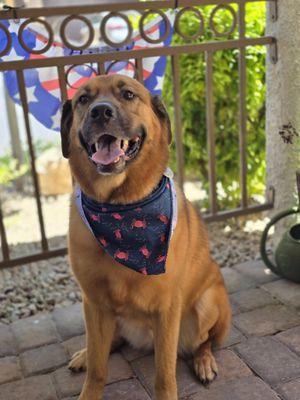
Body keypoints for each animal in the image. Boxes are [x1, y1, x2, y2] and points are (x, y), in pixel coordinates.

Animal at [59, 75, 231, 400]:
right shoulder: (94, 302)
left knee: (204, 342)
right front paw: (90, 378)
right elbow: (98, 369)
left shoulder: (167, 308)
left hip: (208, 303)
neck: (121, 210)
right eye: (83, 100)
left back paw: (204, 361)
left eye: (128, 94)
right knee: (107, 344)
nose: (100, 112)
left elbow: (164, 375)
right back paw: (86, 354)